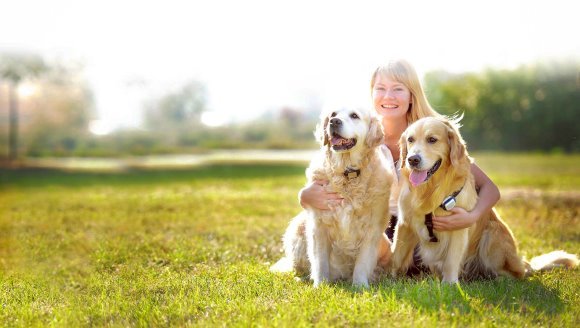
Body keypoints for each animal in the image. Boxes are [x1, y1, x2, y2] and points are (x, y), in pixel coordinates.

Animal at [272, 105, 394, 288]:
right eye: (333, 114)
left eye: (354, 116)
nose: (334, 122)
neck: (347, 173)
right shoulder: (318, 226)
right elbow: (319, 261)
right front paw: (320, 286)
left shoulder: (372, 228)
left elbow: (363, 262)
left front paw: (360, 286)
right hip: (298, 228)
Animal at [390, 117, 576, 282]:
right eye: (410, 140)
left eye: (432, 140)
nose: (412, 159)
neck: (431, 190)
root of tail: (523, 262)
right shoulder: (405, 224)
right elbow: (396, 256)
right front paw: (389, 279)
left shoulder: (458, 227)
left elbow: (451, 261)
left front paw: (450, 285)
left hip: (492, 234)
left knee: (517, 273)